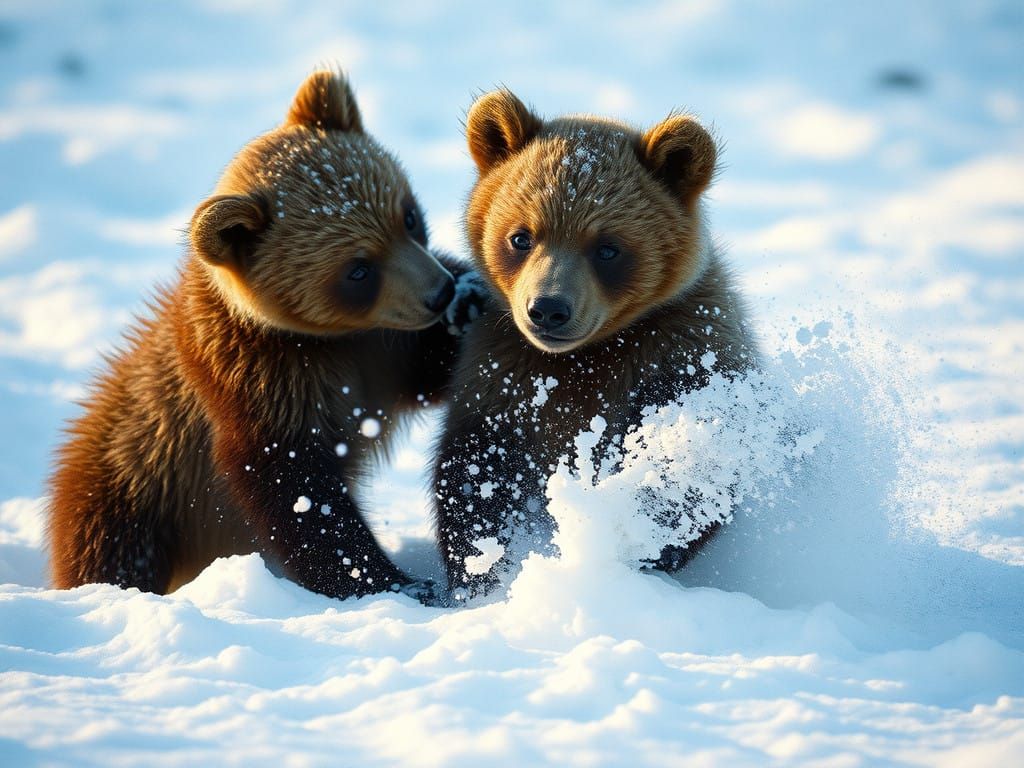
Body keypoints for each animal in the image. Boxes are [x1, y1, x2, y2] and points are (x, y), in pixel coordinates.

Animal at [48, 70, 482, 599]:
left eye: (409, 215)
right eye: (357, 270)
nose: (439, 293)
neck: (322, 338)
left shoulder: (377, 352)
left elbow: (425, 367)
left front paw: (471, 300)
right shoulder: (258, 380)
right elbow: (295, 491)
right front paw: (389, 580)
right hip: (132, 491)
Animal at [432, 90, 756, 600]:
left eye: (608, 247)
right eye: (521, 236)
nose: (548, 308)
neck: (584, 357)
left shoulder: (680, 351)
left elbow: (692, 462)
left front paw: (620, 540)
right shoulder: (500, 374)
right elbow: (476, 478)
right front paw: (486, 571)